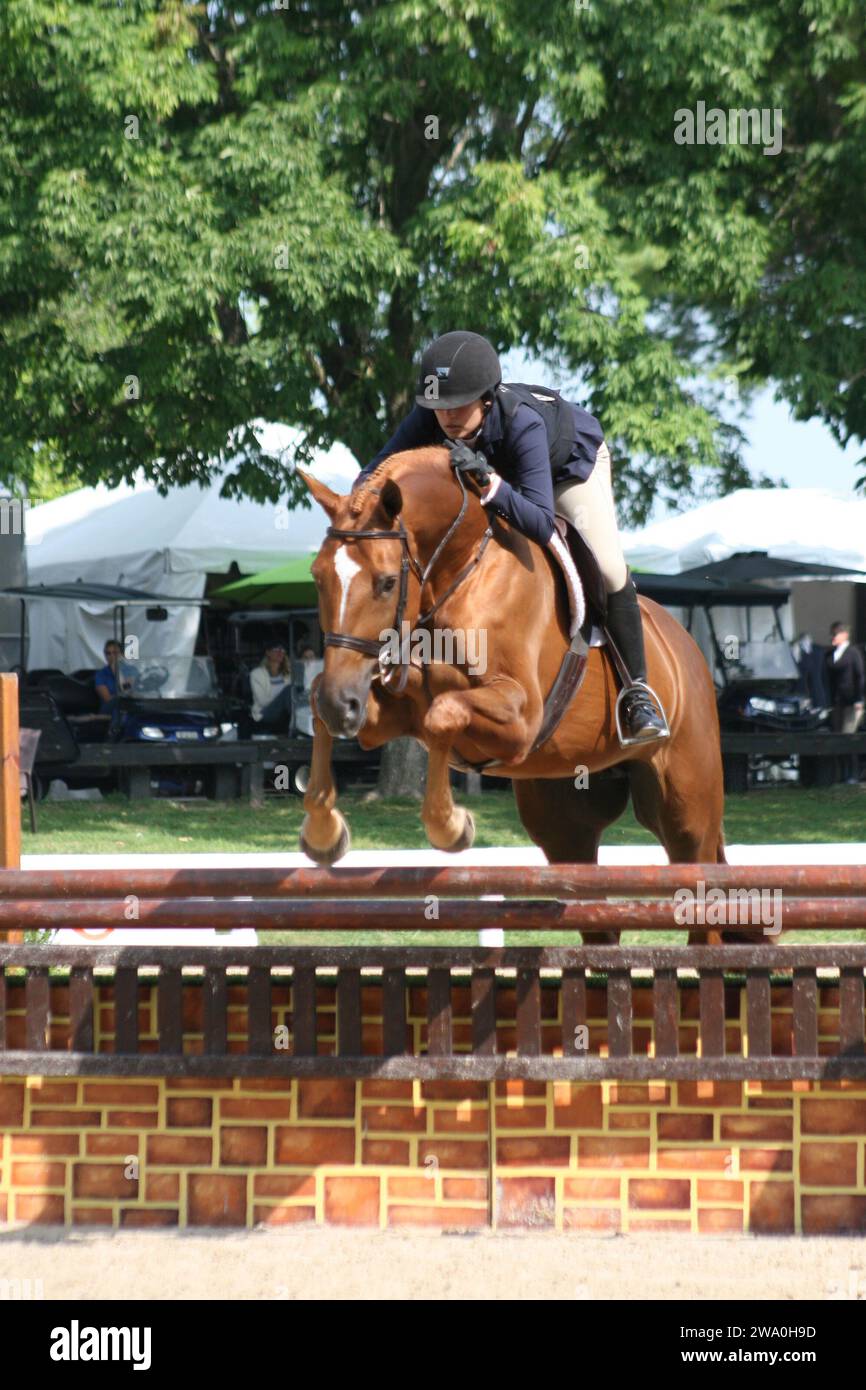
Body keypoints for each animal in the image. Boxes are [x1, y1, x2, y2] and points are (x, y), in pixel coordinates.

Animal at [297, 450, 733, 939]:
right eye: (317, 578)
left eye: (387, 582)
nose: (341, 704)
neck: (461, 568)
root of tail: (685, 646)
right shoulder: (388, 709)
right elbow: (320, 702)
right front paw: (323, 834)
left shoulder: (521, 720)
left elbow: (443, 714)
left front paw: (451, 826)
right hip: (564, 820)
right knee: (596, 913)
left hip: (687, 810)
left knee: (701, 897)